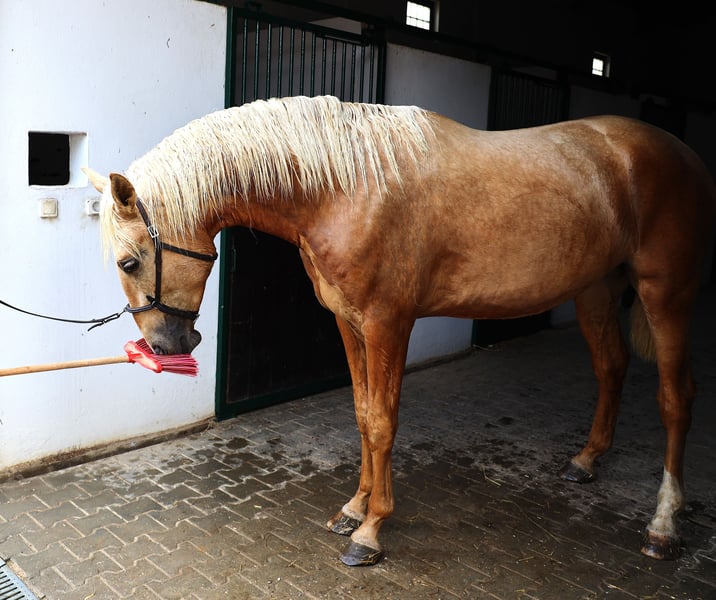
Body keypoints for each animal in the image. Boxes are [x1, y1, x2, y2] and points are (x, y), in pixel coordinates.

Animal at [85, 95, 716, 567]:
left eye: (129, 262)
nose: (164, 347)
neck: (346, 187)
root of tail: (685, 154)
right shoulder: (349, 322)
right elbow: (364, 416)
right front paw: (353, 509)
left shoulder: (390, 322)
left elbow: (385, 422)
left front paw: (371, 533)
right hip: (597, 290)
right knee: (611, 367)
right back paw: (586, 461)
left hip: (666, 295)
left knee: (675, 398)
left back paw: (664, 524)